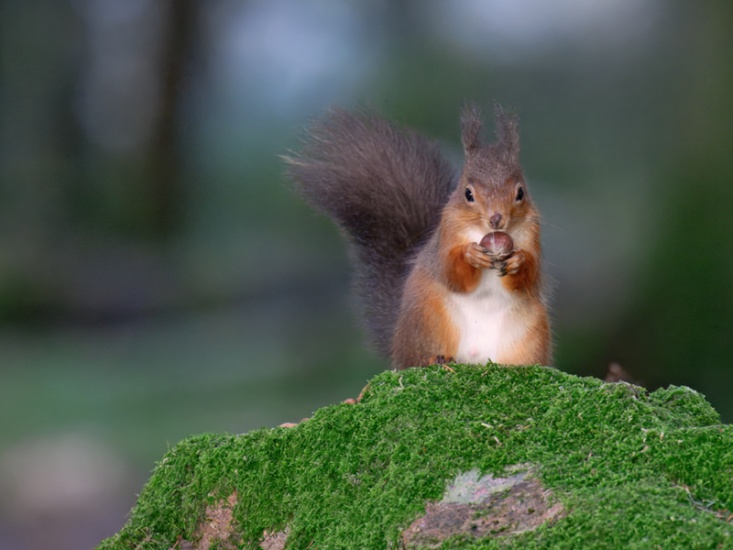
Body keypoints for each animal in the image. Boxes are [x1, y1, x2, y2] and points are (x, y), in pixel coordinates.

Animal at [287, 103, 551, 369]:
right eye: (468, 193)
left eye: (520, 192)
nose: (496, 219)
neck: (486, 232)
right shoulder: (446, 235)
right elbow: (452, 274)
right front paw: (471, 255)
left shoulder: (533, 234)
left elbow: (529, 278)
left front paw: (518, 261)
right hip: (426, 320)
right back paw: (435, 358)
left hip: (530, 334)